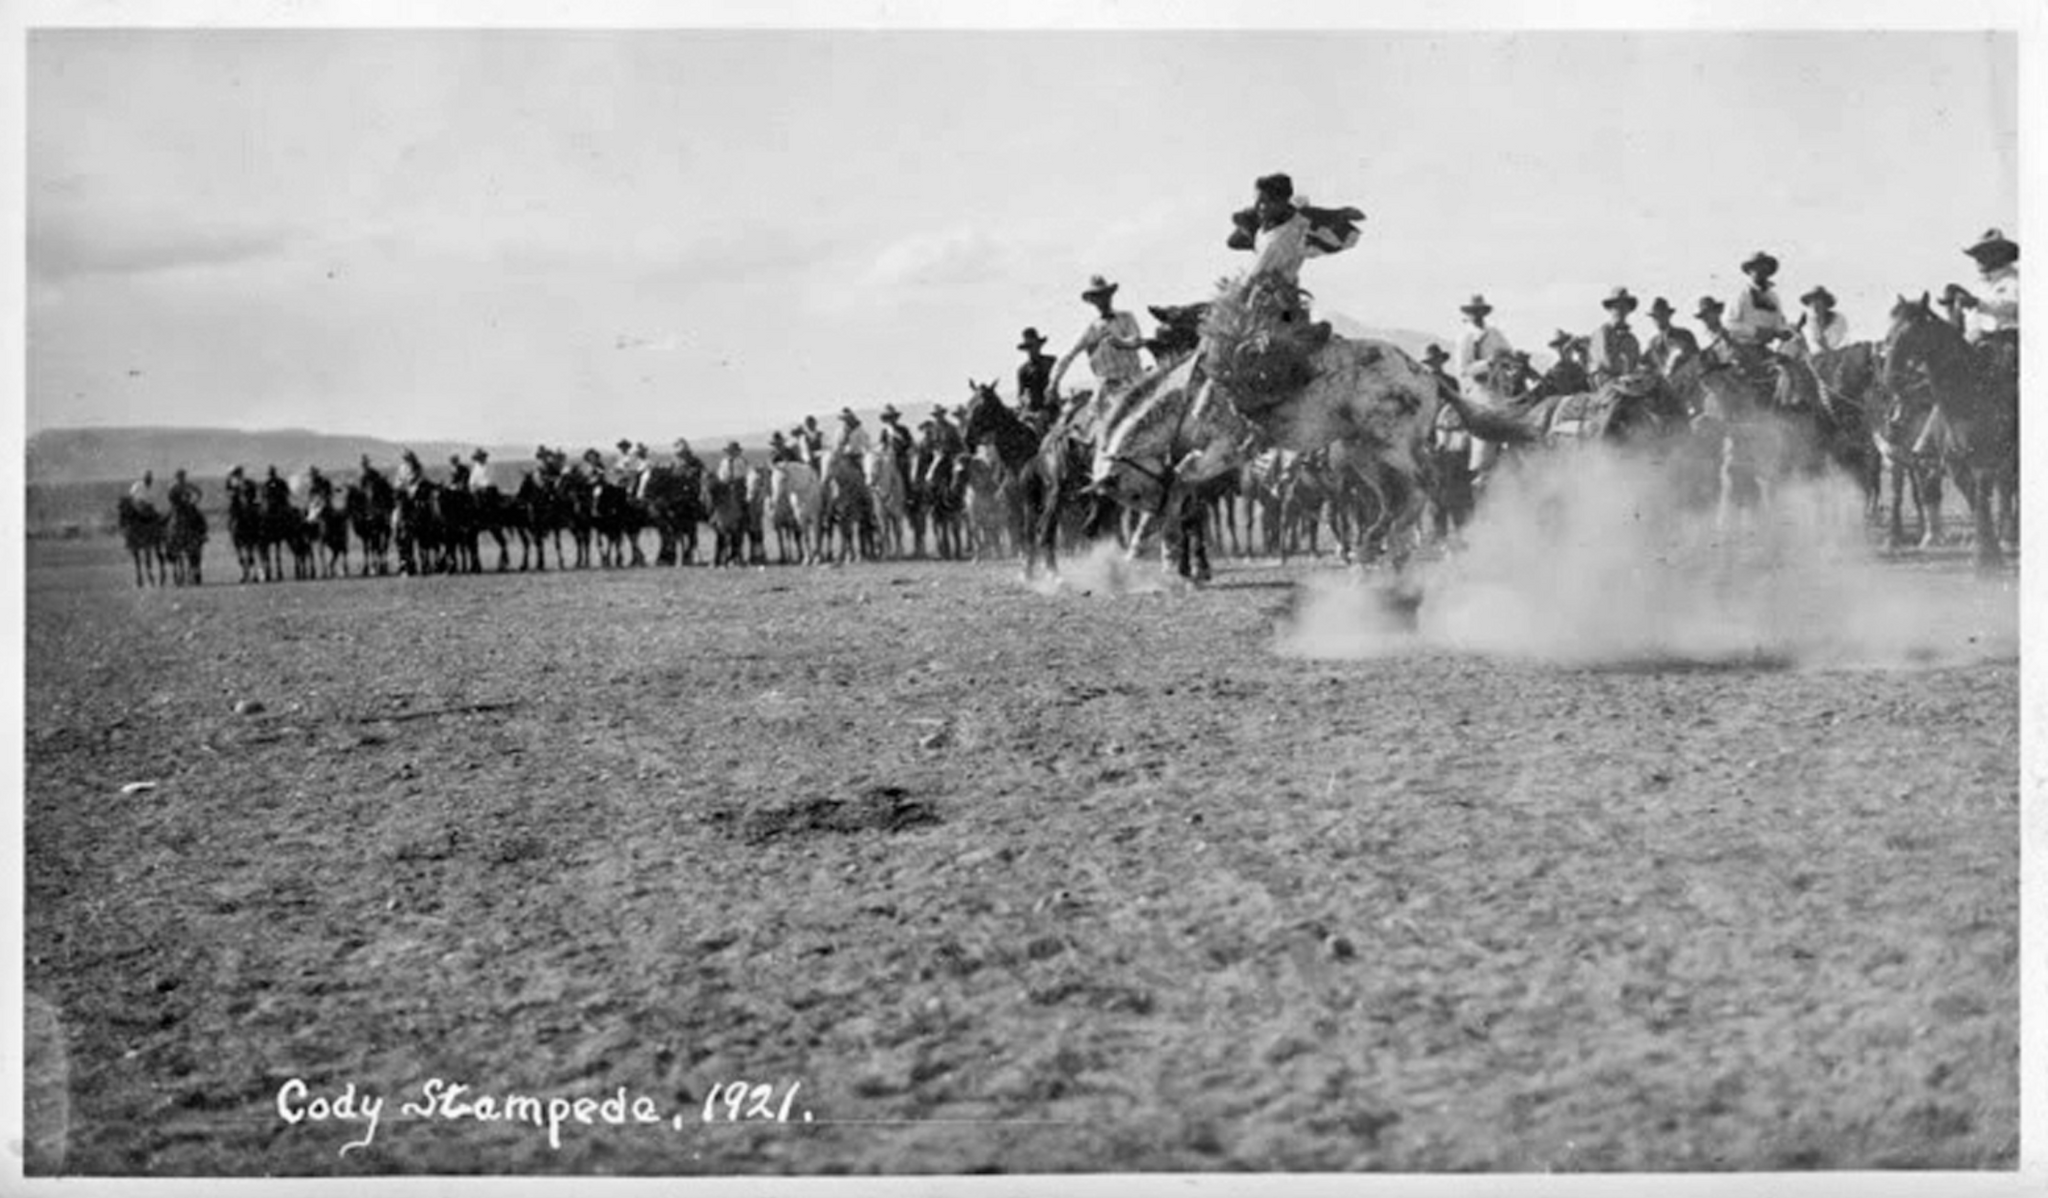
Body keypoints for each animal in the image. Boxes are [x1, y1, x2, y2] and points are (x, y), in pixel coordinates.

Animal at [1875, 292, 2023, 569]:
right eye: (1889, 333)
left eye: (1912, 333)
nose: (1891, 378)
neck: (1972, 396)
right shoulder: (1956, 465)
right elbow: (1976, 501)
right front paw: (1988, 554)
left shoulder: (1987, 461)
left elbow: (1984, 497)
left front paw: (1986, 559)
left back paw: (2009, 537)